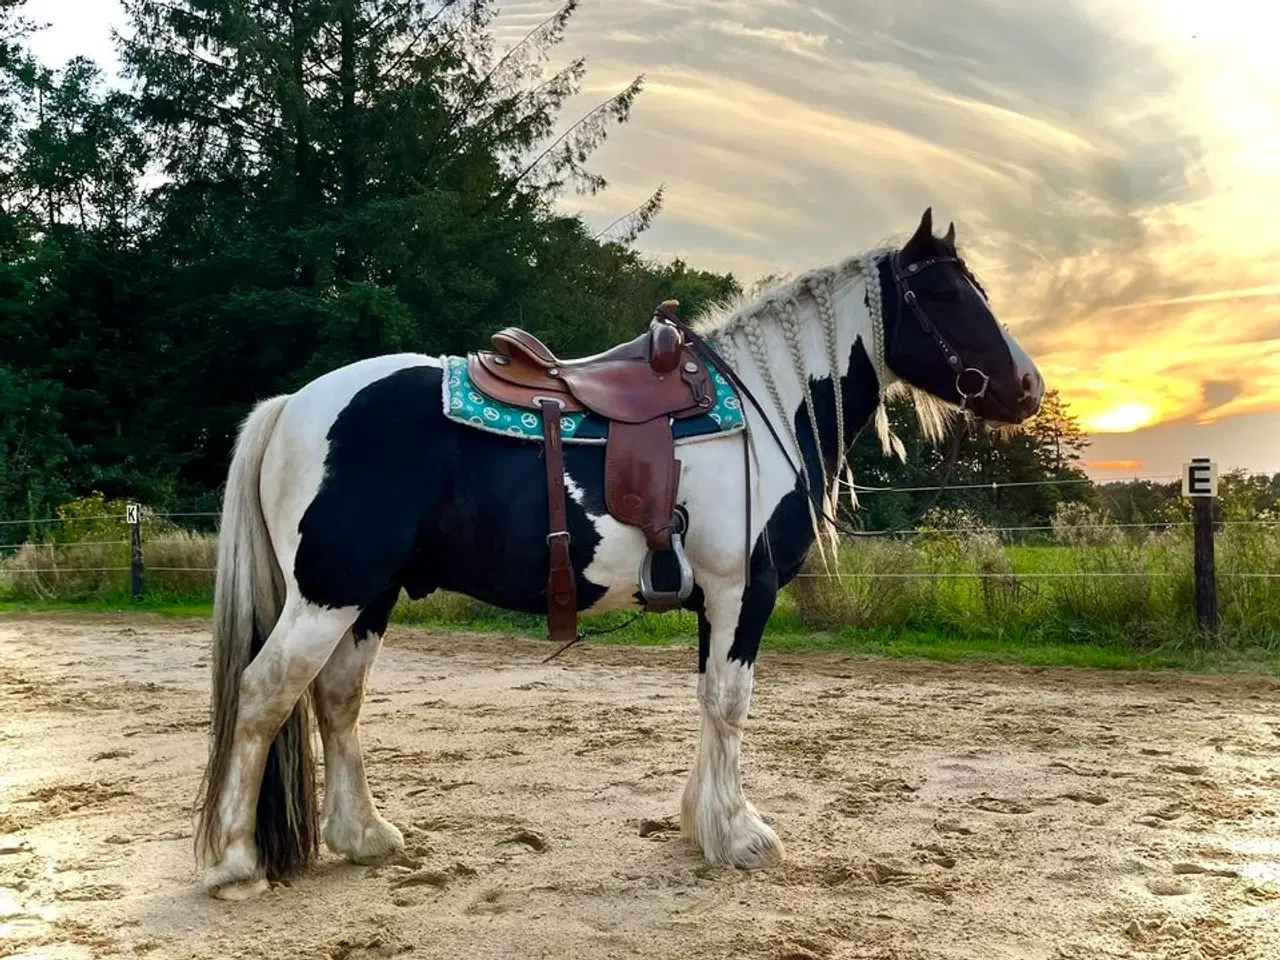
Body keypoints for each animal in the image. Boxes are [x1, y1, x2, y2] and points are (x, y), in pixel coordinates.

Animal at [194, 208, 1044, 901]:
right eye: (949, 296)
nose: (1030, 386)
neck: (763, 406)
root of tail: (291, 406)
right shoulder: (744, 591)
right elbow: (730, 702)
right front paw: (739, 835)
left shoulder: (716, 601)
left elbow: (709, 700)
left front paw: (702, 824)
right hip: (330, 593)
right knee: (265, 693)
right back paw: (235, 863)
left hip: (368, 596)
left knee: (337, 700)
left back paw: (363, 837)